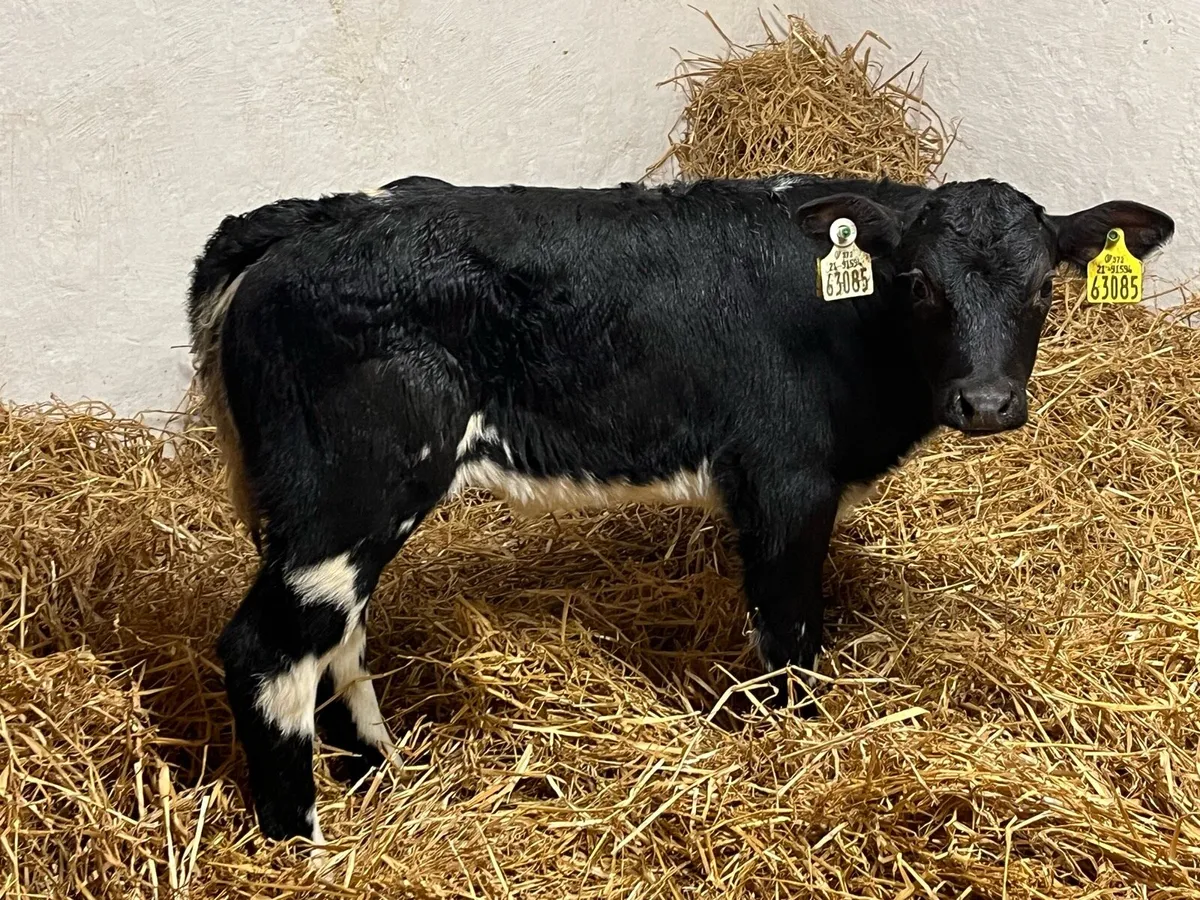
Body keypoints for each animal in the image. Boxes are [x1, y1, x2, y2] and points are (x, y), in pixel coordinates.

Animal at [187, 172, 1172, 843]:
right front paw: (795, 756)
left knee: (337, 641)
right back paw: (305, 842)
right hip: (351, 490)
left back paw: (389, 777)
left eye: (1044, 288)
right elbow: (789, 638)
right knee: (269, 648)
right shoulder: (784, 480)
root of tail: (306, 219)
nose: (987, 403)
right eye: (921, 284)